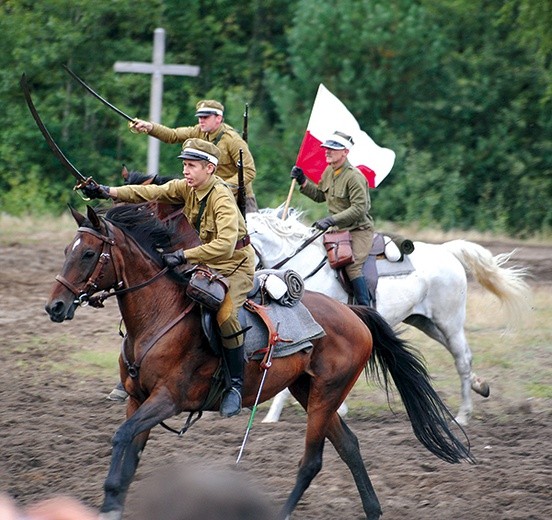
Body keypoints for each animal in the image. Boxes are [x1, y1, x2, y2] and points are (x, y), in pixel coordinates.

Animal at [45, 204, 472, 520]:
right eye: (66, 251)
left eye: (88, 253)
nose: (55, 307)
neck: (159, 318)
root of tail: (353, 313)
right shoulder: (137, 401)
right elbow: (127, 462)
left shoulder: (167, 399)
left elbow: (121, 439)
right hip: (310, 392)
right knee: (349, 446)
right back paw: (372, 509)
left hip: (327, 395)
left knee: (312, 461)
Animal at [248, 208, 528, 426]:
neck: (302, 267)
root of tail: (447, 252)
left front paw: (272, 416)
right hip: (427, 323)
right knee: (465, 357)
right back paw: (479, 386)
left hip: (449, 322)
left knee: (462, 360)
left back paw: (463, 415)